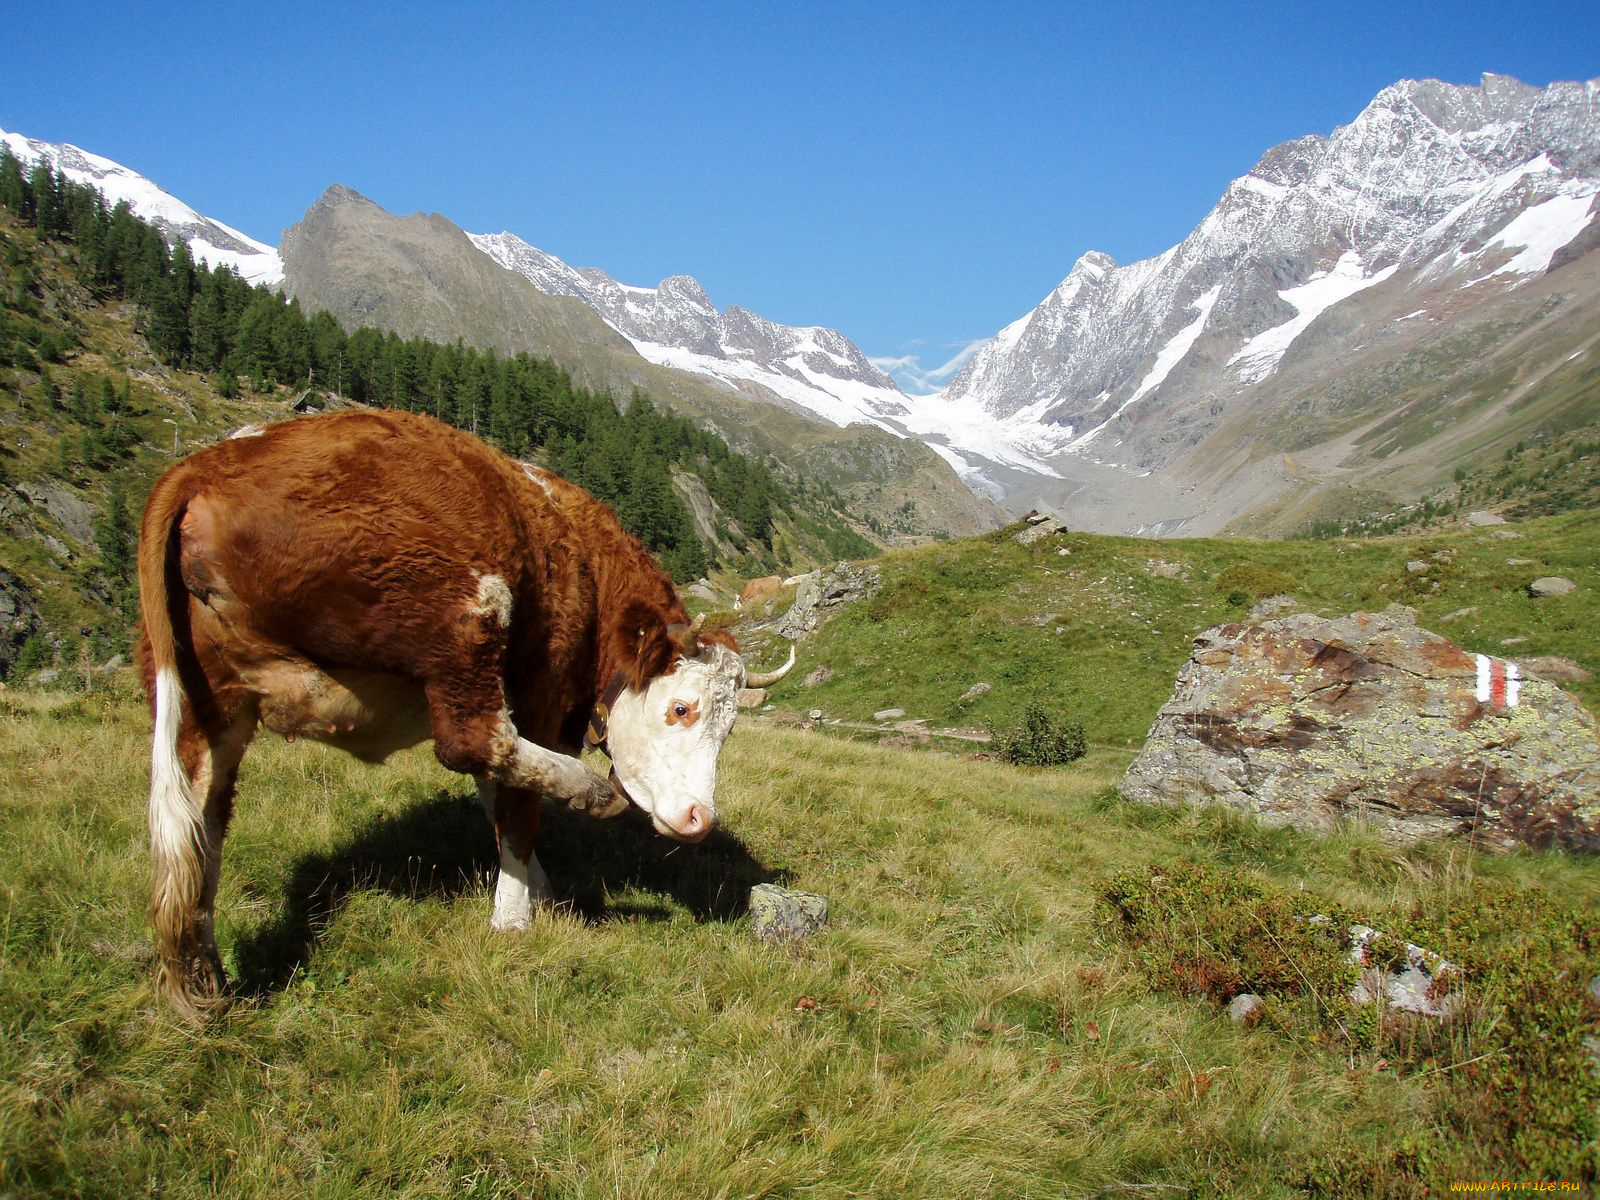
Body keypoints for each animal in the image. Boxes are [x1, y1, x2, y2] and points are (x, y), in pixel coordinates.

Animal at [136, 409, 795, 1021]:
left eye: (728, 730)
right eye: (681, 708)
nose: (699, 820)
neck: (584, 565)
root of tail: (211, 462)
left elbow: (498, 802)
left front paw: (534, 887)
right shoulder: (541, 696)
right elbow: (515, 807)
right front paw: (515, 915)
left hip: (208, 696)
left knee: (200, 820)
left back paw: (203, 971)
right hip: (469, 610)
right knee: (472, 741)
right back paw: (590, 791)